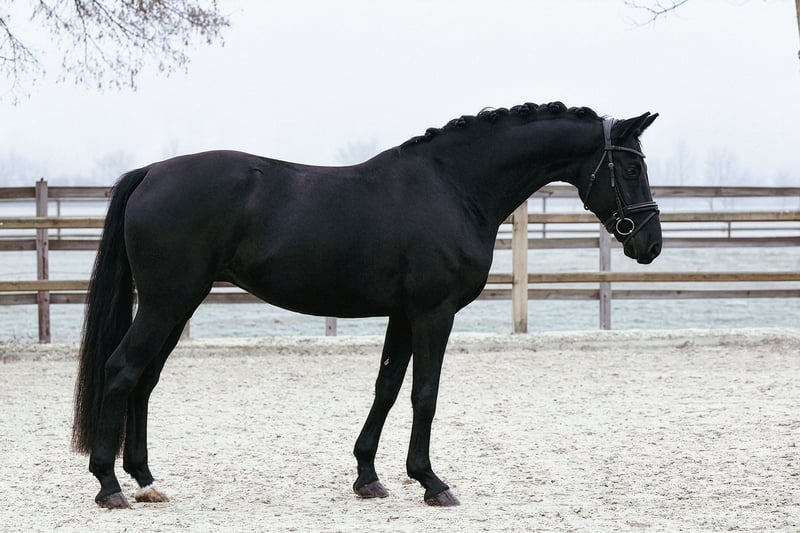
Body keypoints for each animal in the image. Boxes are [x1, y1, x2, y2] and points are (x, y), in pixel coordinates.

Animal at [72, 101, 661, 509]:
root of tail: (151, 172)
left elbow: (387, 388)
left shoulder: (403, 314)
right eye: (631, 169)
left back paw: (146, 480)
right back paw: (109, 485)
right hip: (166, 303)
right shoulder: (433, 313)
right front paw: (431, 482)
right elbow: (425, 394)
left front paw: (368, 477)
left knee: (144, 381)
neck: (453, 187)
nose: (649, 245)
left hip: (176, 305)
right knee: (121, 371)